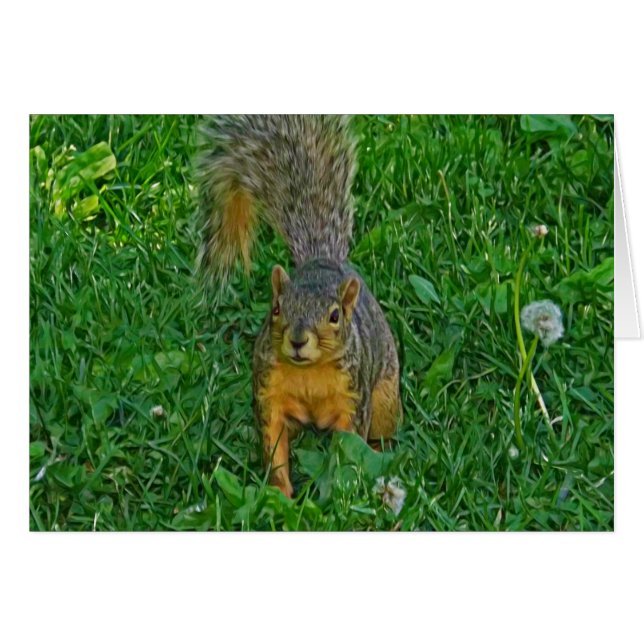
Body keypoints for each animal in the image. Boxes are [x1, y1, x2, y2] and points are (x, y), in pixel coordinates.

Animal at [197, 115, 401, 498]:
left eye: (335, 316)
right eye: (276, 309)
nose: (296, 340)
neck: (309, 373)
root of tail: (323, 259)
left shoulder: (353, 399)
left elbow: (348, 447)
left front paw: (341, 489)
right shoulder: (270, 396)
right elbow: (274, 447)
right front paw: (279, 494)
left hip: (385, 396)